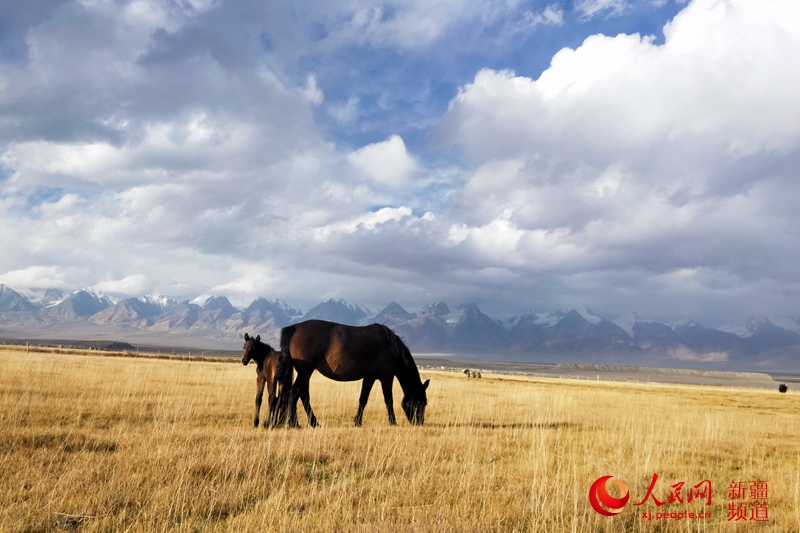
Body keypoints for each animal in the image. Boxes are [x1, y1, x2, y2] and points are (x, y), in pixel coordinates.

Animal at [282, 318, 432, 426]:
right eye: (422, 403)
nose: (419, 423)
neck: (391, 346)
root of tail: (293, 328)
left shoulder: (370, 377)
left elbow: (363, 399)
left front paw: (358, 422)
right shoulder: (386, 376)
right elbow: (388, 399)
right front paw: (393, 422)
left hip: (305, 372)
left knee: (303, 395)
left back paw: (314, 423)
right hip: (305, 371)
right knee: (295, 393)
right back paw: (295, 424)